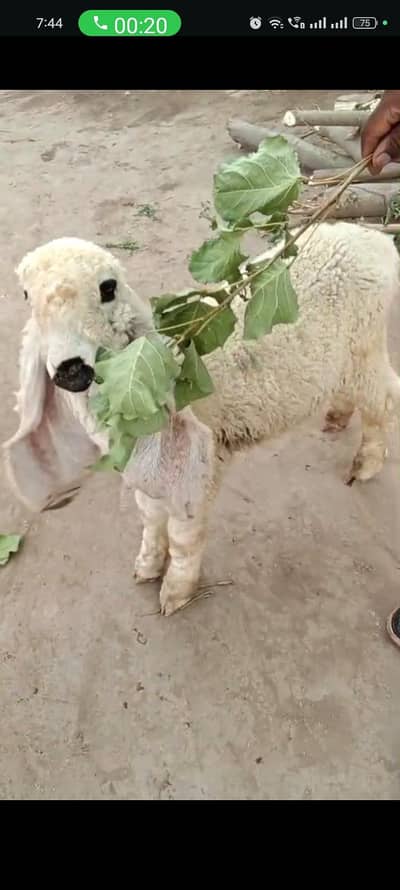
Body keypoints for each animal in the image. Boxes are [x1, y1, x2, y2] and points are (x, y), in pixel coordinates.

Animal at [4, 223, 400, 616]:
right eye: (26, 295)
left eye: (108, 288)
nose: (71, 369)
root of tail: (372, 237)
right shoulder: (146, 465)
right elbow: (150, 517)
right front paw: (148, 565)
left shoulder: (197, 469)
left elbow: (183, 537)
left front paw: (176, 590)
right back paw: (337, 416)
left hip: (365, 345)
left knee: (385, 399)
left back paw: (366, 463)